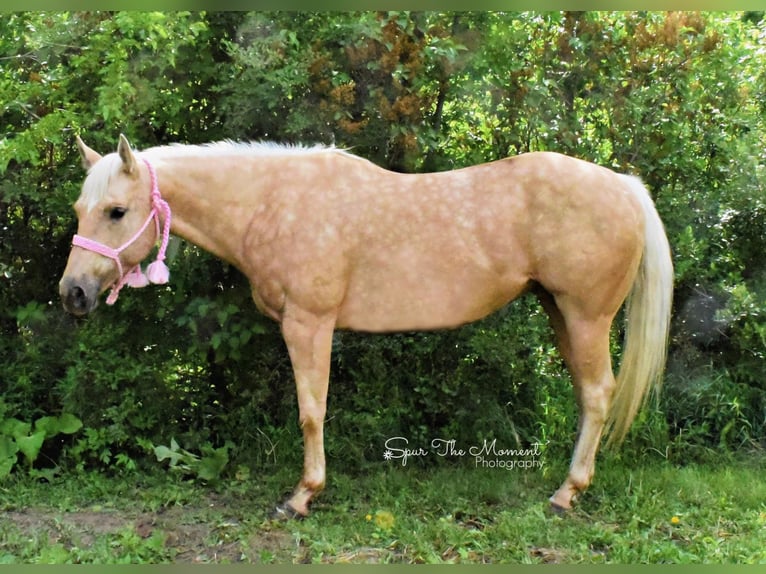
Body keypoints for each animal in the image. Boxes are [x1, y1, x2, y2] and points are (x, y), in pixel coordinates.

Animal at [58, 137, 672, 520]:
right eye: (79, 210)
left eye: (116, 211)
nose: (74, 294)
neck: (272, 202)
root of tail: (624, 185)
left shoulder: (308, 324)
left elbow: (311, 411)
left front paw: (302, 496)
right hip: (560, 312)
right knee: (587, 395)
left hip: (585, 315)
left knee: (597, 394)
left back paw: (567, 494)